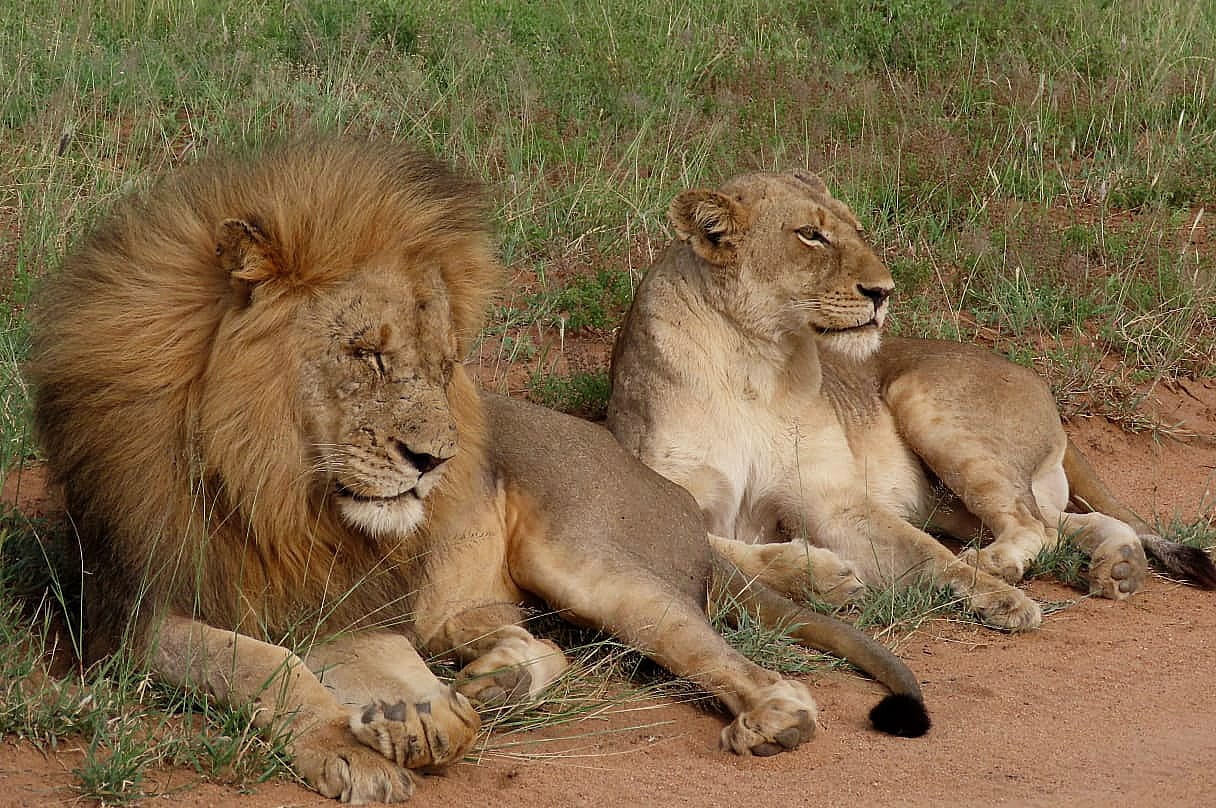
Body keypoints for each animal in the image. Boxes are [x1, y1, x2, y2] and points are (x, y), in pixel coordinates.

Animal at [27, 142, 929, 804]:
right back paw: (490, 680)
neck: (272, 485)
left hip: (588, 559)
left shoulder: (345, 595)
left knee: (733, 659)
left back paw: (768, 714)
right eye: (368, 355)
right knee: (536, 644)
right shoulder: (135, 614)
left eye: (440, 364)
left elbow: (331, 659)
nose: (436, 463)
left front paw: (404, 717)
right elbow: (266, 666)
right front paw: (375, 731)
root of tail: (662, 490)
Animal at [607, 169, 1216, 633]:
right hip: (950, 498)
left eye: (856, 230)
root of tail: (1034, 379)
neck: (757, 359)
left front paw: (1001, 598)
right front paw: (821, 576)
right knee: (1061, 522)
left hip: (921, 398)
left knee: (1032, 524)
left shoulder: (832, 498)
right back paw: (1119, 565)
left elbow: (926, 554)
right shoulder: (665, 494)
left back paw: (1008, 566)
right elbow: (726, 553)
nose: (884, 292)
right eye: (810, 235)